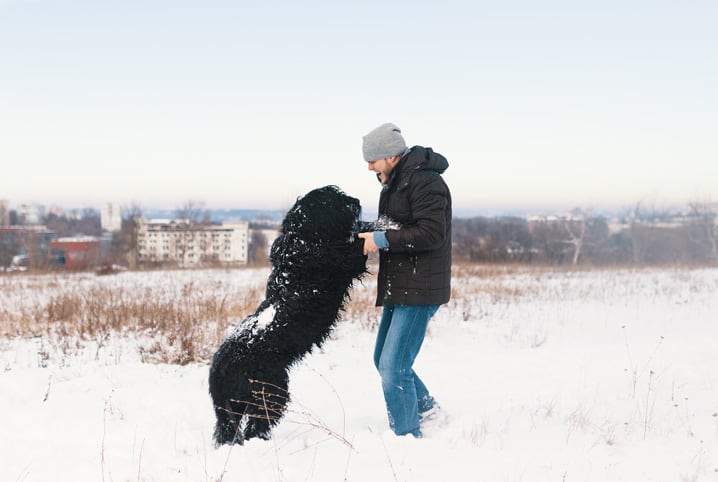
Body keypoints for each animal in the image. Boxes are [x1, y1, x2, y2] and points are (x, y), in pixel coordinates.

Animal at [207, 185, 366, 444]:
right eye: (334, 199)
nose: (356, 201)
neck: (302, 237)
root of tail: (218, 372)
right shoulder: (344, 260)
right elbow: (358, 249)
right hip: (272, 389)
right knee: (257, 424)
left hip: (234, 406)